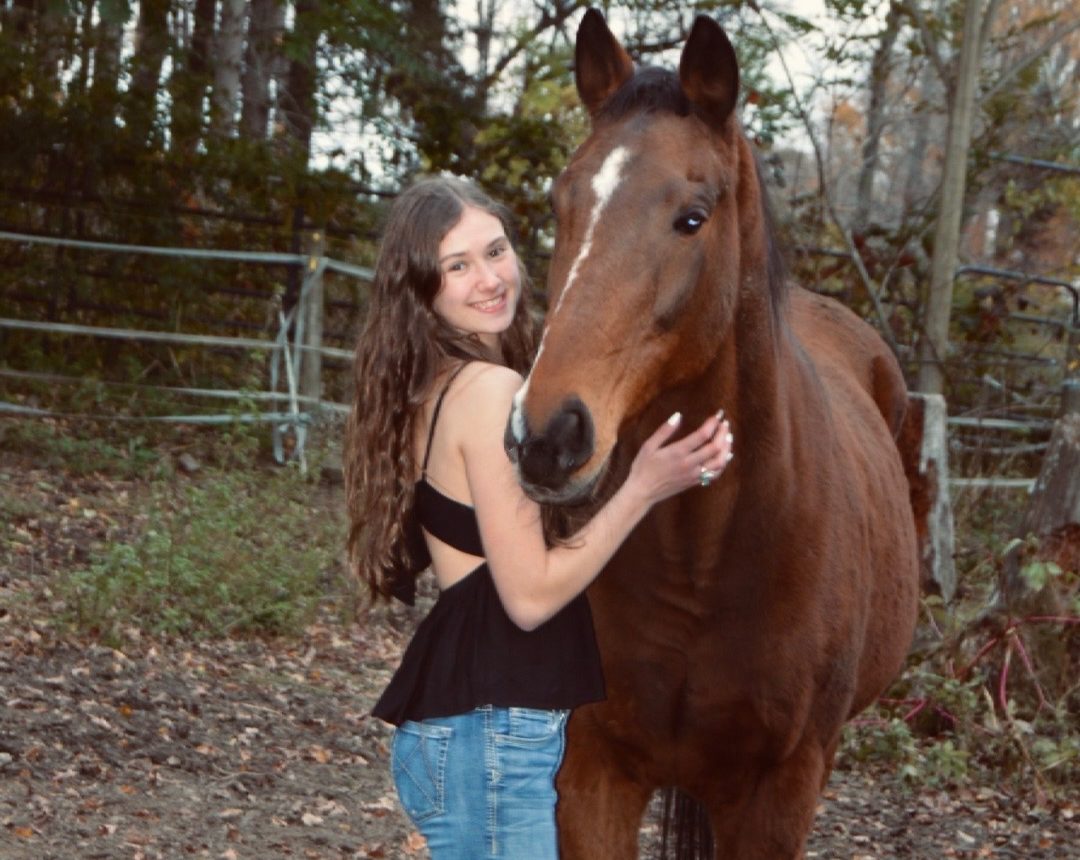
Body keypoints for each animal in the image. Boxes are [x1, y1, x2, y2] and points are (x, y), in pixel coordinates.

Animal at [503, 11, 920, 859]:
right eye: (561, 203)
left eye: (691, 217)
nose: (547, 435)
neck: (707, 558)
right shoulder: (592, 773)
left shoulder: (777, 796)